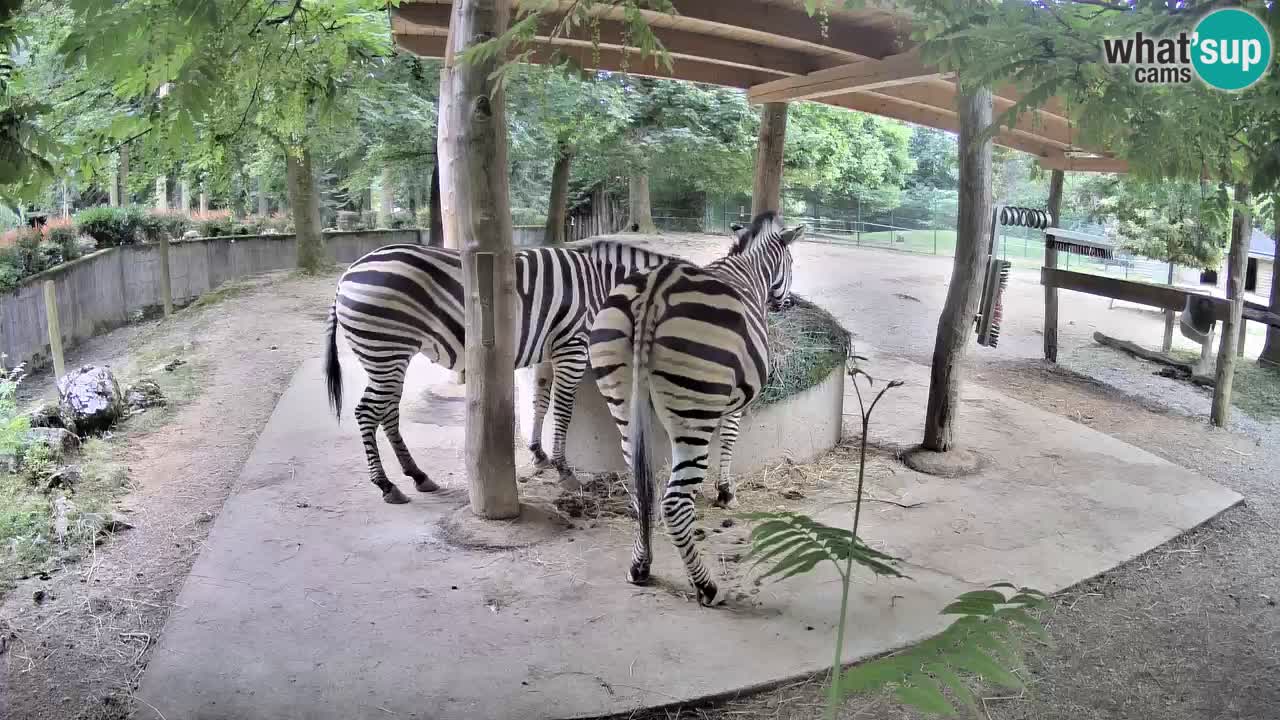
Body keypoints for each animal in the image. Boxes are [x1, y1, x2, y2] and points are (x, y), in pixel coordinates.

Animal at [324, 239, 681, 504]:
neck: (603, 291)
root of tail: (346, 276)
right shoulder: (572, 346)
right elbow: (563, 410)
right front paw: (564, 470)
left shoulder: (547, 352)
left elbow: (540, 403)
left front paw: (539, 454)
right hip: (385, 350)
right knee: (367, 412)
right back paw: (386, 485)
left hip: (387, 357)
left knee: (387, 413)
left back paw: (418, 476)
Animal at [589, 211, 803, 606]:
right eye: (792, 264)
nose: (787, 304)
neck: (747, 271)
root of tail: (654, 288)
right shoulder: (733, 400)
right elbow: (730, 437)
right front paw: (725, 492)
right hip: (695, 412)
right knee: (674, 503)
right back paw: (706, 586)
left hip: (622, 399)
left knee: (641, 487)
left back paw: (640, 566)